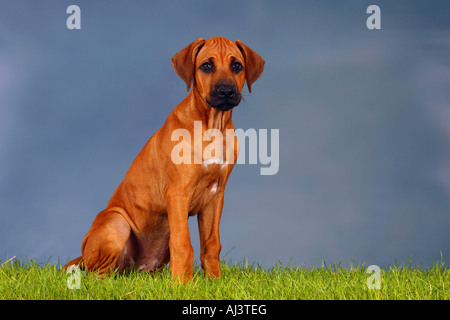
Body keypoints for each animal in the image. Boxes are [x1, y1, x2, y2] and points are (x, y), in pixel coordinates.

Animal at [65, 37, 266, 282]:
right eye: (206, 66)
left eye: (237, 66)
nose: (226, 91)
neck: (211, 127)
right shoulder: (178, 193)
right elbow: (183, 243)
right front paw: (183, 285)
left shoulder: (215, 196)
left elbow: (211, 244)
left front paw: (214, 281)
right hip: (116, 222)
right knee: (98, 274)